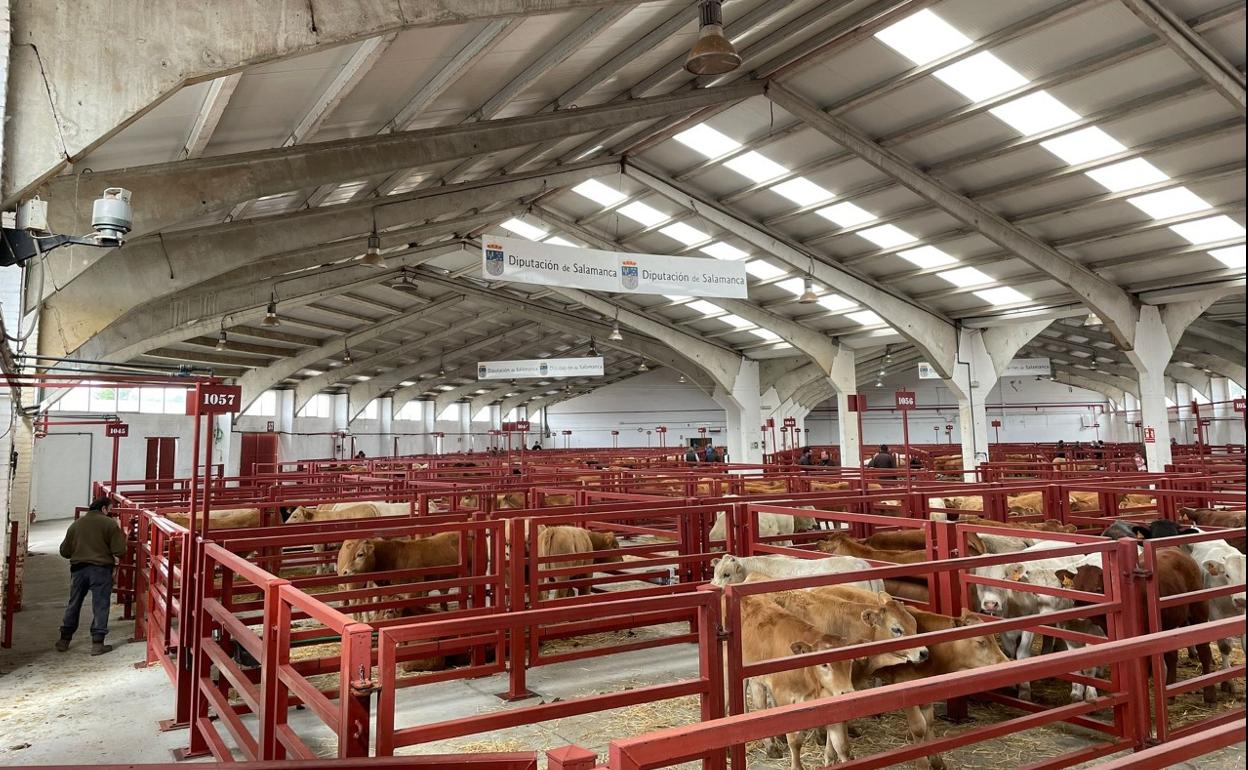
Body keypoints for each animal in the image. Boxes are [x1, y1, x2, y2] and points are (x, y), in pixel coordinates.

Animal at [1068, 546, 1213, 703]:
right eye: (1075, 587)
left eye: (1097, 590)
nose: (1078, 606)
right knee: (1171, 655)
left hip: (1198, 612)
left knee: (1204, 650)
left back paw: (1209, 694)